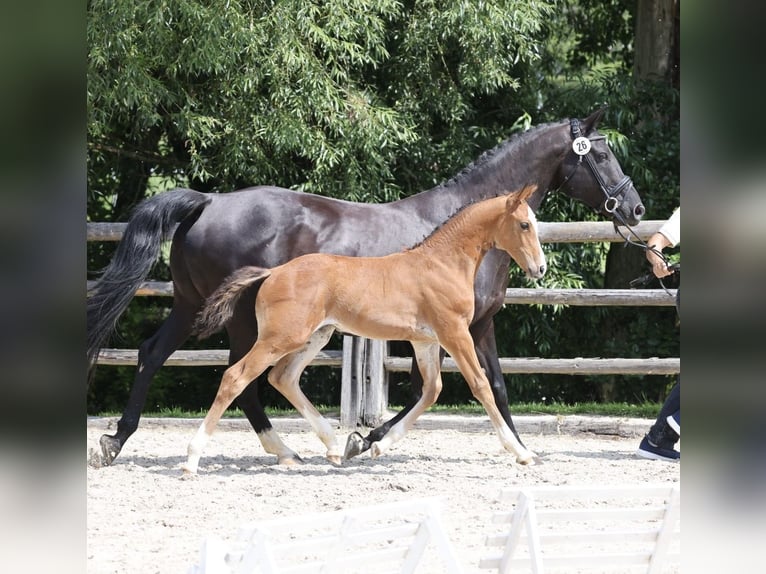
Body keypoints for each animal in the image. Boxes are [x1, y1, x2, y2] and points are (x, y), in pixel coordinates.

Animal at [184, 187, 544, 474]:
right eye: (524, 224)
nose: (540, 268)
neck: (442, 263)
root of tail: (273, 273)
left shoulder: (425, 341)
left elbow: (431, 391)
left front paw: (377, 446)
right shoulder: (455, 332)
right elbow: (481, 385)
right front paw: (522, 453)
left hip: (315, 336)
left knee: (282, 377)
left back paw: (332, 446)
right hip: (281, 337)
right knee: (236, 377)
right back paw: (192, 460)